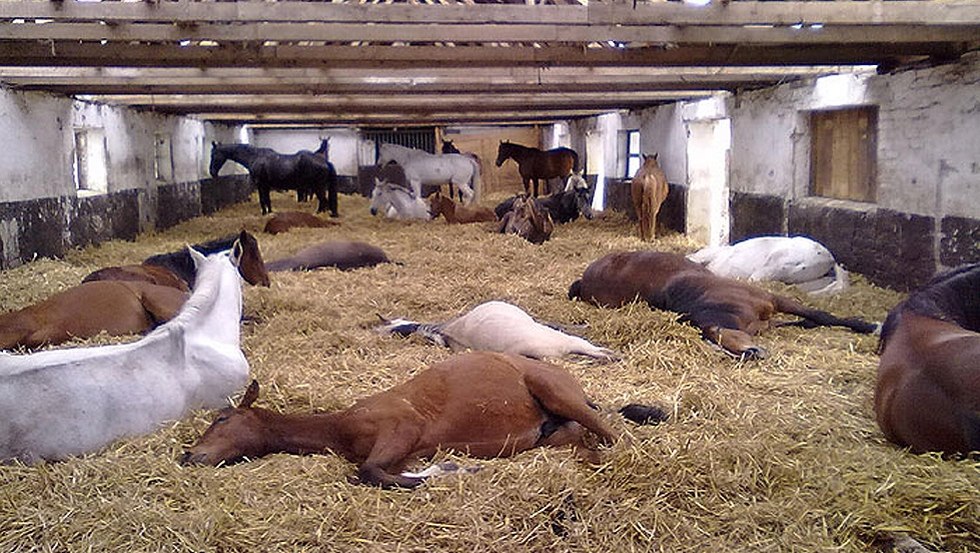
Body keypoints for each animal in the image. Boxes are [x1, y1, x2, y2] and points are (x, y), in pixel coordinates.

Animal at [181, 352, 667, 488]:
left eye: (221, 418)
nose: (189, 455)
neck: (341, 426)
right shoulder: (402, 449)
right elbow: (381, 471)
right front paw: (446, 470)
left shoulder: (402, 429)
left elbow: (370, 472)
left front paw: (449, 473)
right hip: (553, 433)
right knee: (590, 437)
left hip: (555, 391)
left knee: (613, 435)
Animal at [209, 142, 339, 217]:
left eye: (213, 155)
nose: (212, 172)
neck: (255, 157)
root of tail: (325, 162)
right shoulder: (265, 185)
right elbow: (267, 199)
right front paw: (270, 212)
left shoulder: (260, 185)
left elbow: (262, 200)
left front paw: (264, 213)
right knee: (323, 201)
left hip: (317, 186)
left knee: (324, 201)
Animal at [568, 250, 878, 359]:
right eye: (712, 339)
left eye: (719, 334)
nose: (751, 353)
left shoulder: (776, 300)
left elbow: (819, 314)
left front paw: (867, 325)